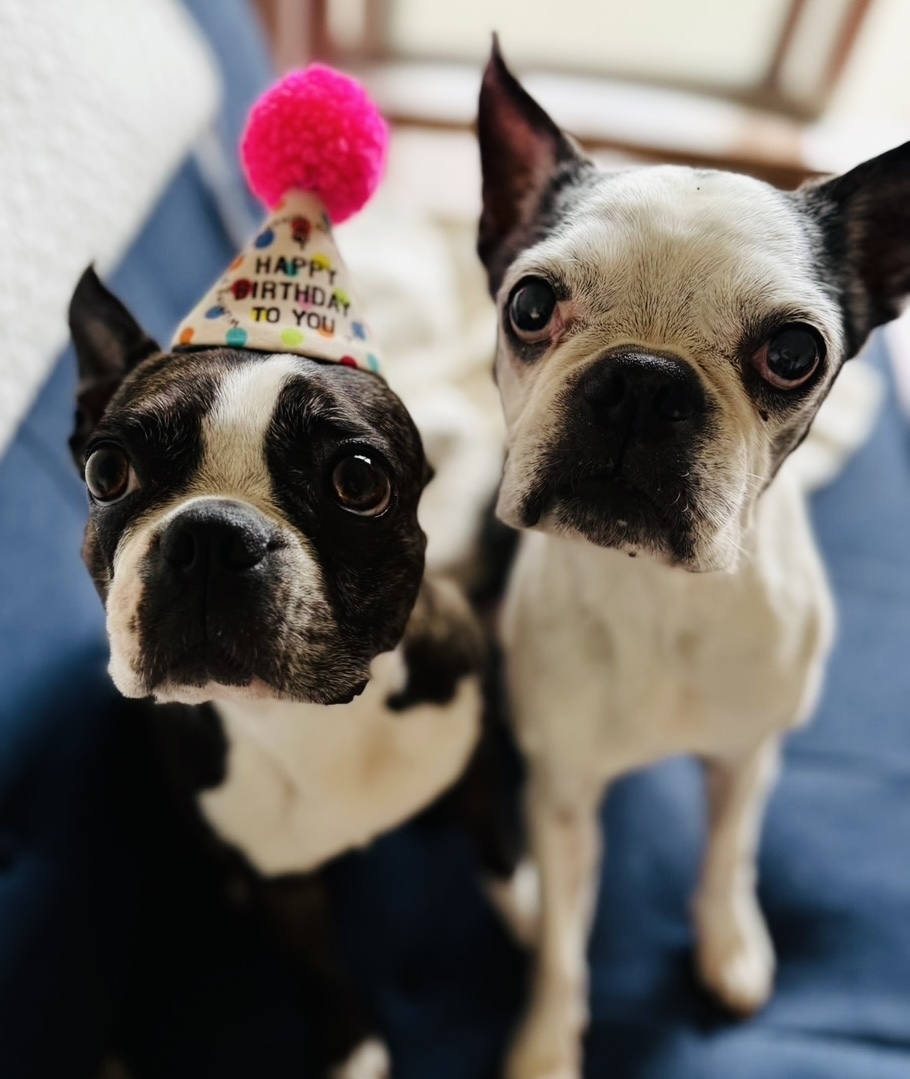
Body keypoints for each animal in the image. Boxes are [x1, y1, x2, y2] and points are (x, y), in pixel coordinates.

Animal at [68, 266, 517, 1078]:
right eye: (107, 469)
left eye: (359, 481)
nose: (211, 533)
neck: (314, 720)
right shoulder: (286, 889)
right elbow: (320, 969)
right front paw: (354, 1055)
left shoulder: (472, 763)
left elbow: (501, 855)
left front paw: (537, 926)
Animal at [476, 41, 910, 1079]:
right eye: (530, 304)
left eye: (794, 351)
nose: (643, 378)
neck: (659, 592)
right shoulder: (563, 794)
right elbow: (566, 941)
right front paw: (545, 1043)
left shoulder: (749, 751)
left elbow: (728, 852)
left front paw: (728, 940)